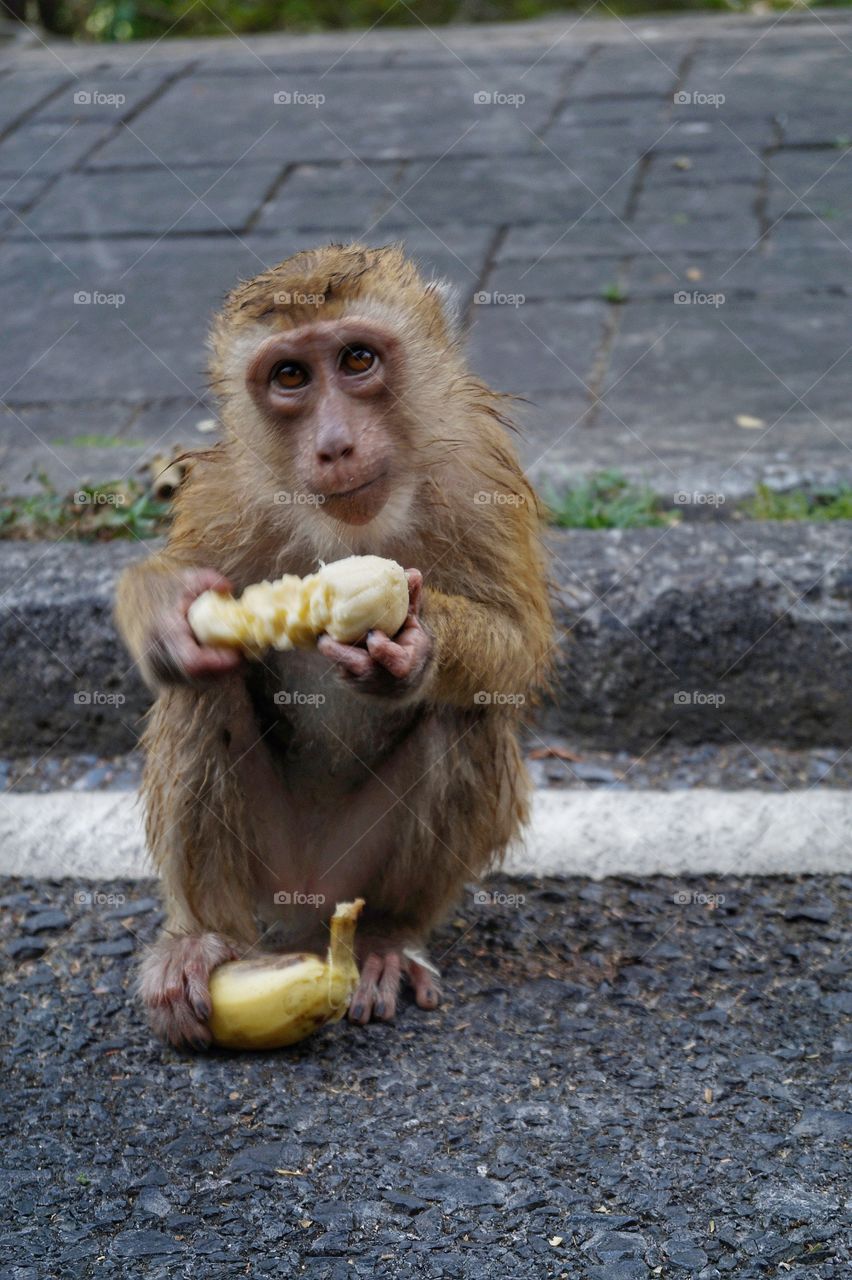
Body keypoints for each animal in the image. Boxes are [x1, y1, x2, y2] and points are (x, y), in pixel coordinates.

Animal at [115, 243, 553, 1051]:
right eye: (290, 376)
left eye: (356, 359)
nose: (334, 444)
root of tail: (311, 905)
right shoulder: (228, 495)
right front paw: (165, 615)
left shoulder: (480, 473)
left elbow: (520, 647)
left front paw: (416, 652)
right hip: (270, 862)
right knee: (201, 689)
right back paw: (202, 941)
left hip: (355, 866)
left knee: (467, 716)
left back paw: (384, 940)